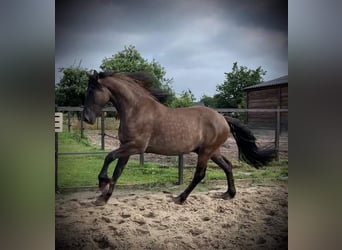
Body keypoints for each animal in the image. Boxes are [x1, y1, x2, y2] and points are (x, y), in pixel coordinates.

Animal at [83, 70, 276, 205]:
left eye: (91, 90)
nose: (86, 118)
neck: (136, 109)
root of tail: (223, 119)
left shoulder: (136, 146)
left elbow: (109, 157)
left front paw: (101, 182)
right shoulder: (127, 146)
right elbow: (117, 171)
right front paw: (103, 198)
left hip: (205, 152)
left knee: (200, 174)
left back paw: (181, 198)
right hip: (212, 151)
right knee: (227, 166)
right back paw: (229, 194)